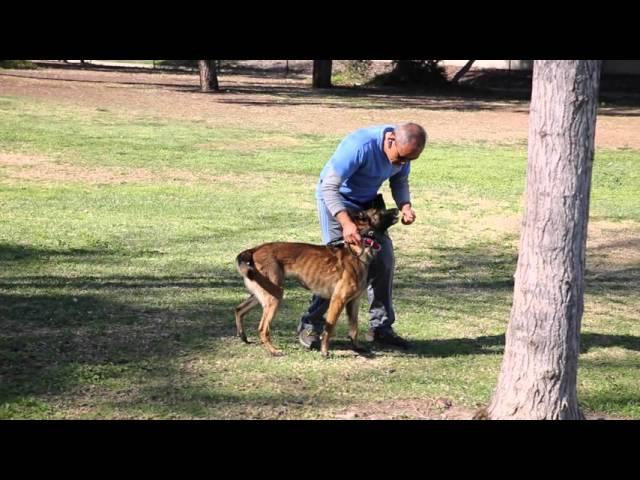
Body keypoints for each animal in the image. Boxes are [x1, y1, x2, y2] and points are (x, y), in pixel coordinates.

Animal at [232, 206, 398, 356]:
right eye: (379, 211)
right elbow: (329, 328)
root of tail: (254, 250)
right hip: (275, 296)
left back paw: (243, 336)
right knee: (262, 328)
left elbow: (354, 328)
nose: (397, 210)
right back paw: (273, 350)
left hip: (264, 293)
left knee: (239, 309)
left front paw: (356, 347)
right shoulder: (338, 300)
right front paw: (324, 351)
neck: (359, 249)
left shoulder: (353, 302)